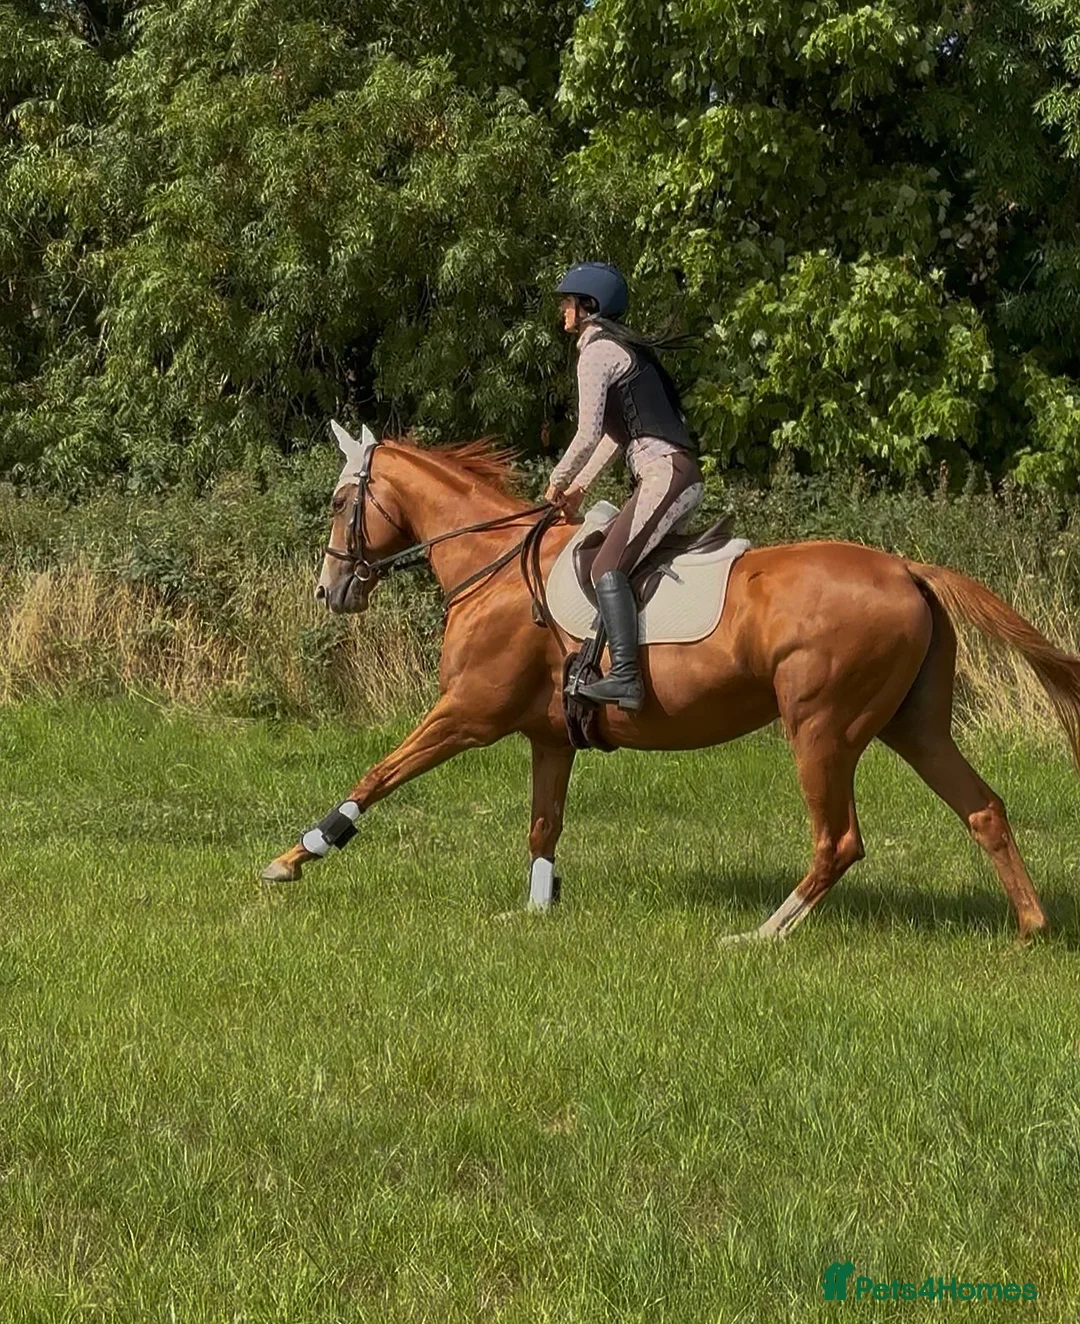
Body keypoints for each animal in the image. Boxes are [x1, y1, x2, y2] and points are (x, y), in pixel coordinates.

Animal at [261, 427, 1080, 943]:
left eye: (338, 502)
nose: (329, 590)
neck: (492, 568)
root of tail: (907, 568)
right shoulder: (549, 737)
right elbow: (543, 826)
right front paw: (535, 910)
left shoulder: (466, 714)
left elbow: (377, 775)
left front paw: (296, 855)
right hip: (912, 725)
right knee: (983, 809)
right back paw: (1031, 929)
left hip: (822, 728)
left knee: (839, 840)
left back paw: (764, 934)